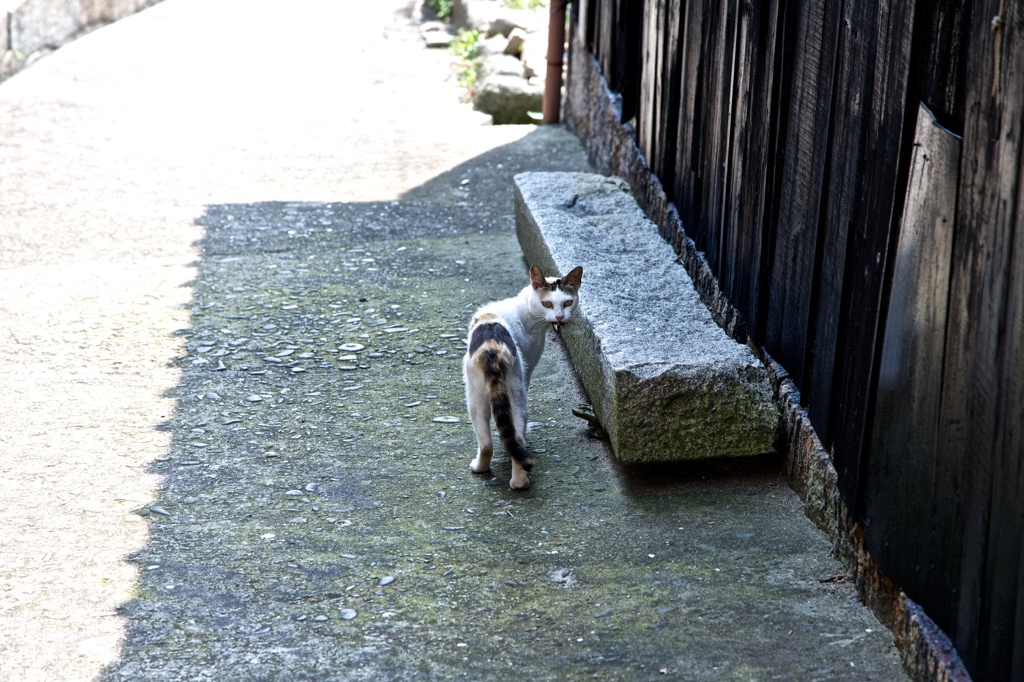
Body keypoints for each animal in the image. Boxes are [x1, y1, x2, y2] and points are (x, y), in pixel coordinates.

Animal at [460, 261, 581, 489]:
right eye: (548, 304)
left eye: (568, 302)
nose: (560, 317)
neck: (525, 306)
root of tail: (491, 348)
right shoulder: (529, 367)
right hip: (513, 389)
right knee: (516, 437)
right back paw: (519, 482)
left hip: (478, 394)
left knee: (490, 441)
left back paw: (488, 470)